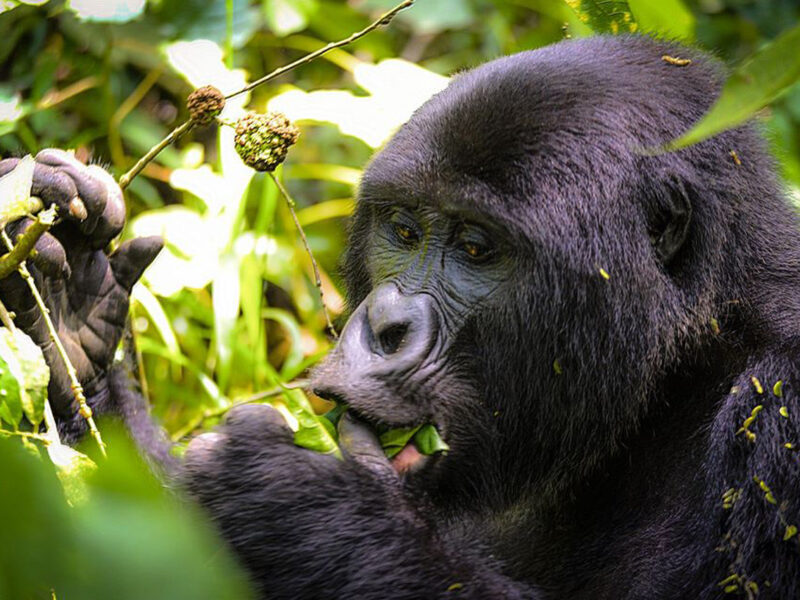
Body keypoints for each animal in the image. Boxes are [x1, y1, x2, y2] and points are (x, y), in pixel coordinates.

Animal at [1, 35, 800, 596]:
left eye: (476, 248)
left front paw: (302, 510)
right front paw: (71, 316)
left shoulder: (780, 404)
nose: (382, 328)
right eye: (406, 231)